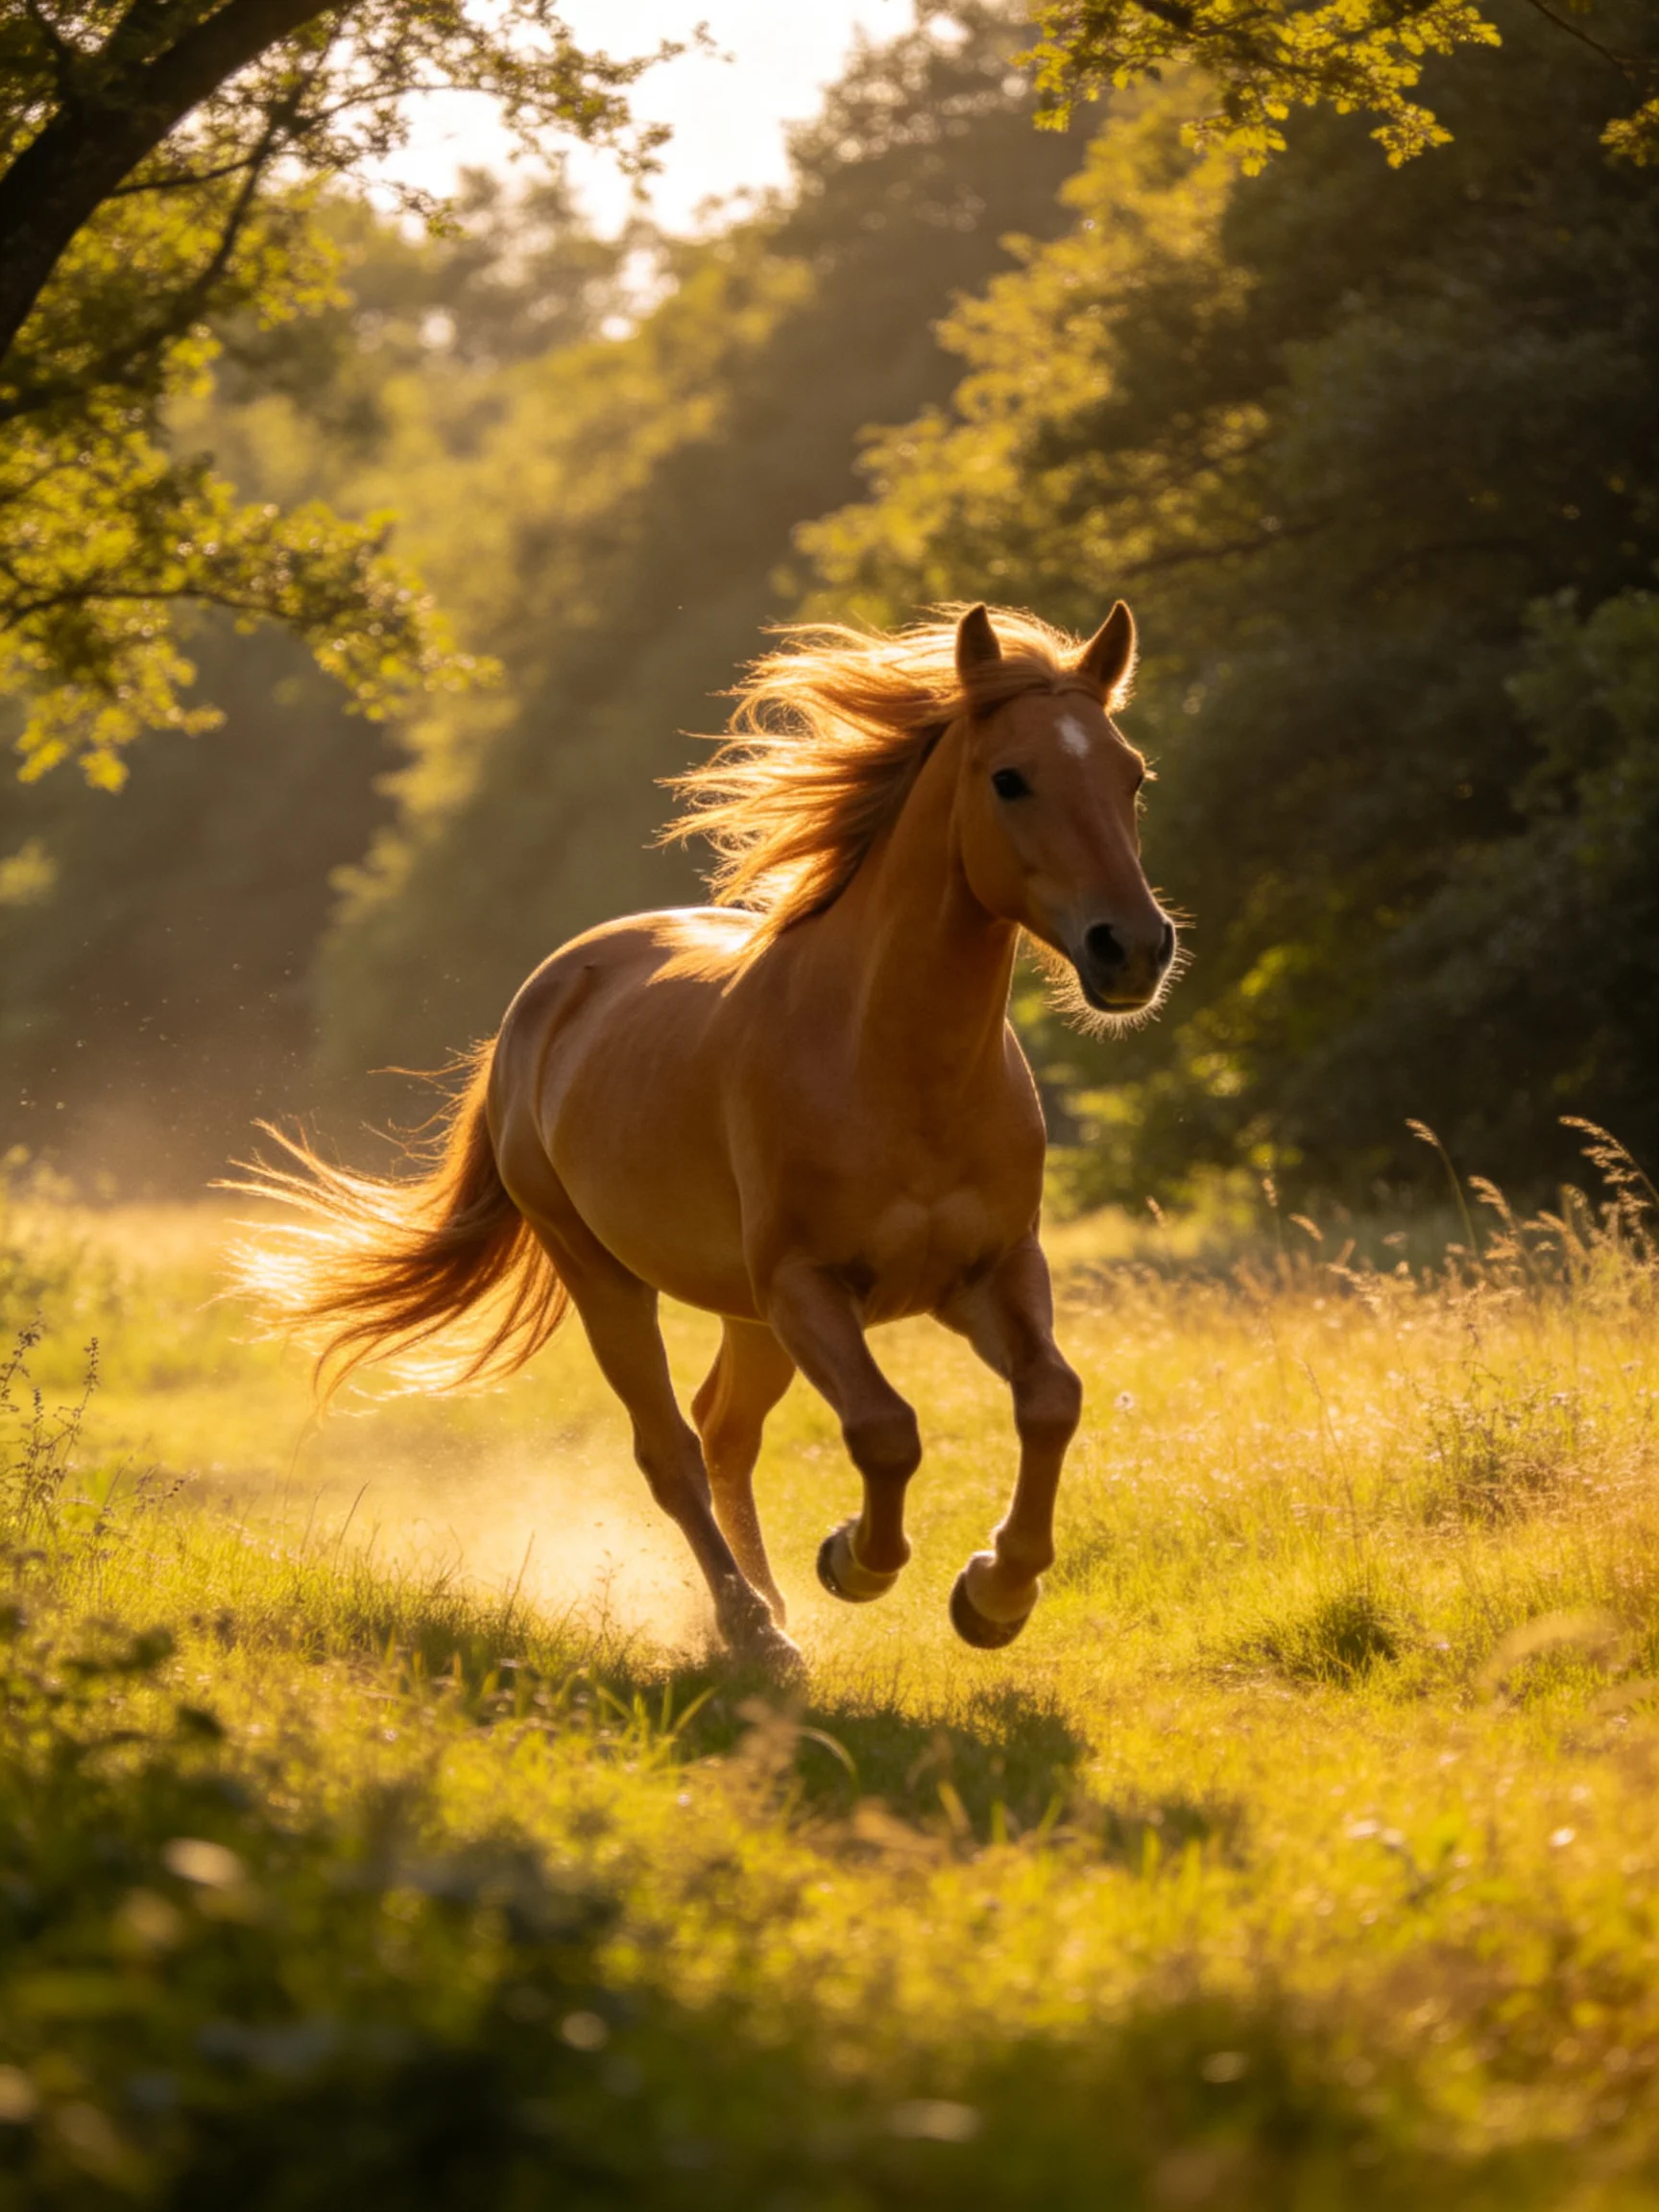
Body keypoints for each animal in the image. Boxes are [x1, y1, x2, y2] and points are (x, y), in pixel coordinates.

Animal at [234, 601, 1179, 1671]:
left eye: (1131, 775)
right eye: (1010, 778)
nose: (1131, 949)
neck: (898, 1066)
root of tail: (545, 997)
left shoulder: (991, 1271)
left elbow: (1051, 1398)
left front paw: (994, 1594)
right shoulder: (809, 1285)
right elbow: (885, 1429)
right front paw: (855, 1560)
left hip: (748, 1315)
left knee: (723, 1430)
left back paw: (767, 1609)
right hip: (610, 1280)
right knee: (671, 1448)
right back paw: (753, 1628)